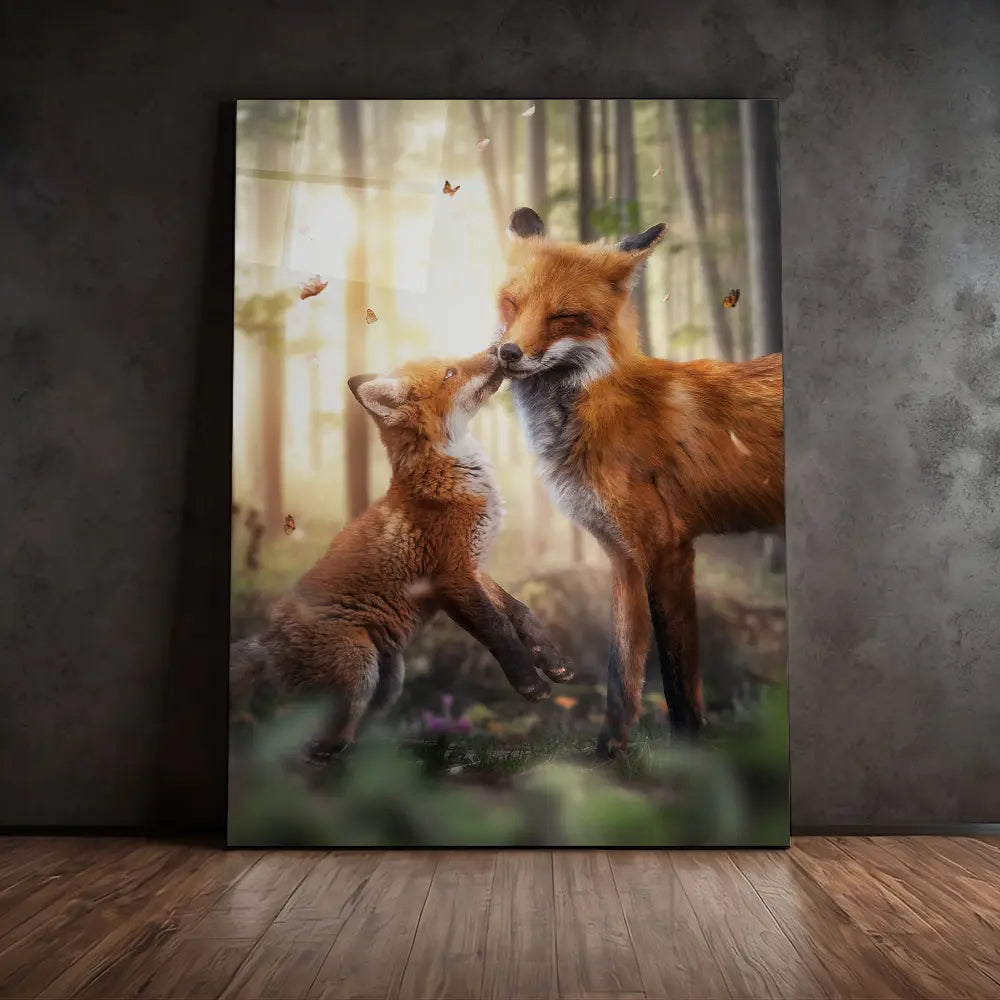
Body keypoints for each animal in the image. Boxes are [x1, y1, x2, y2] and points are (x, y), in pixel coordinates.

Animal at [230, 348, 573, 763]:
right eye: (450, 373)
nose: (498, 349)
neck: (451, 477)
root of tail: (269, 640)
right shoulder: (451, 578)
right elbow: (498, 628)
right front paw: (529, 684)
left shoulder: (474, 566)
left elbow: (520, 611)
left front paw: (551, 661)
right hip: (359, 666)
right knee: (314, 746)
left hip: (390, 677)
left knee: (345, 735)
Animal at [493, 206, 784, 756]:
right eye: (512, 303)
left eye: (563, 315)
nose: (508, 352)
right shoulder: (622, 558)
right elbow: (621, 673)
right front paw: (608, 753)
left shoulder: (666, 550)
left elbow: (677, 680)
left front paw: (690, 754)